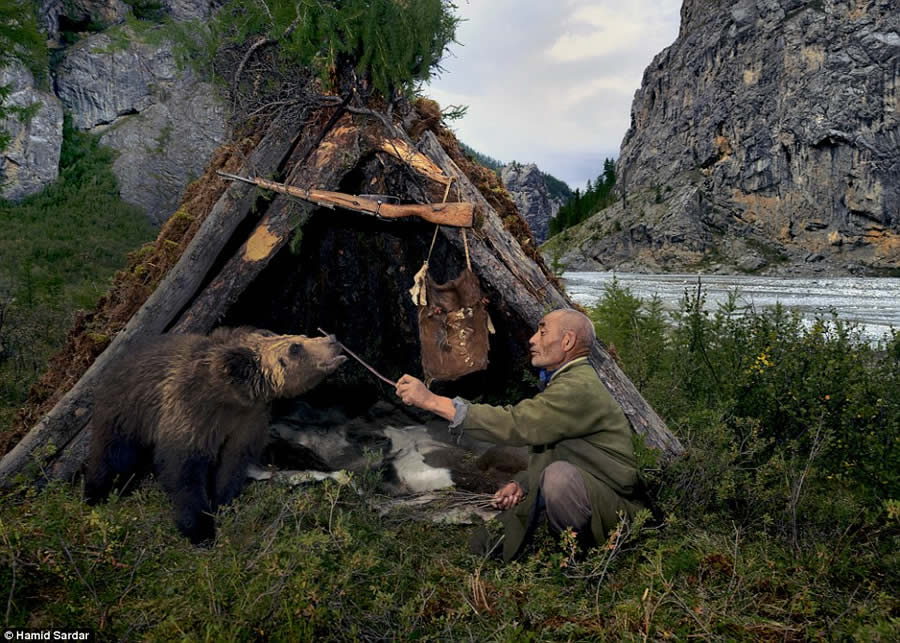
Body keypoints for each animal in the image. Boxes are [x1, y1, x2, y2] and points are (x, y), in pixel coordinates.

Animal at [84, 328, 346, 544]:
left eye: (301, 336)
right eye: (295, 347)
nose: (333, 339)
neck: (229, 398)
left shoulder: (247, 422)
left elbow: (232, 466)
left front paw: (223, 503)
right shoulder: (191, 416)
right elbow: (183, 471)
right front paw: (201, 529)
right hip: (127, 412)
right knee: (113, 455)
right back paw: (97, 493)